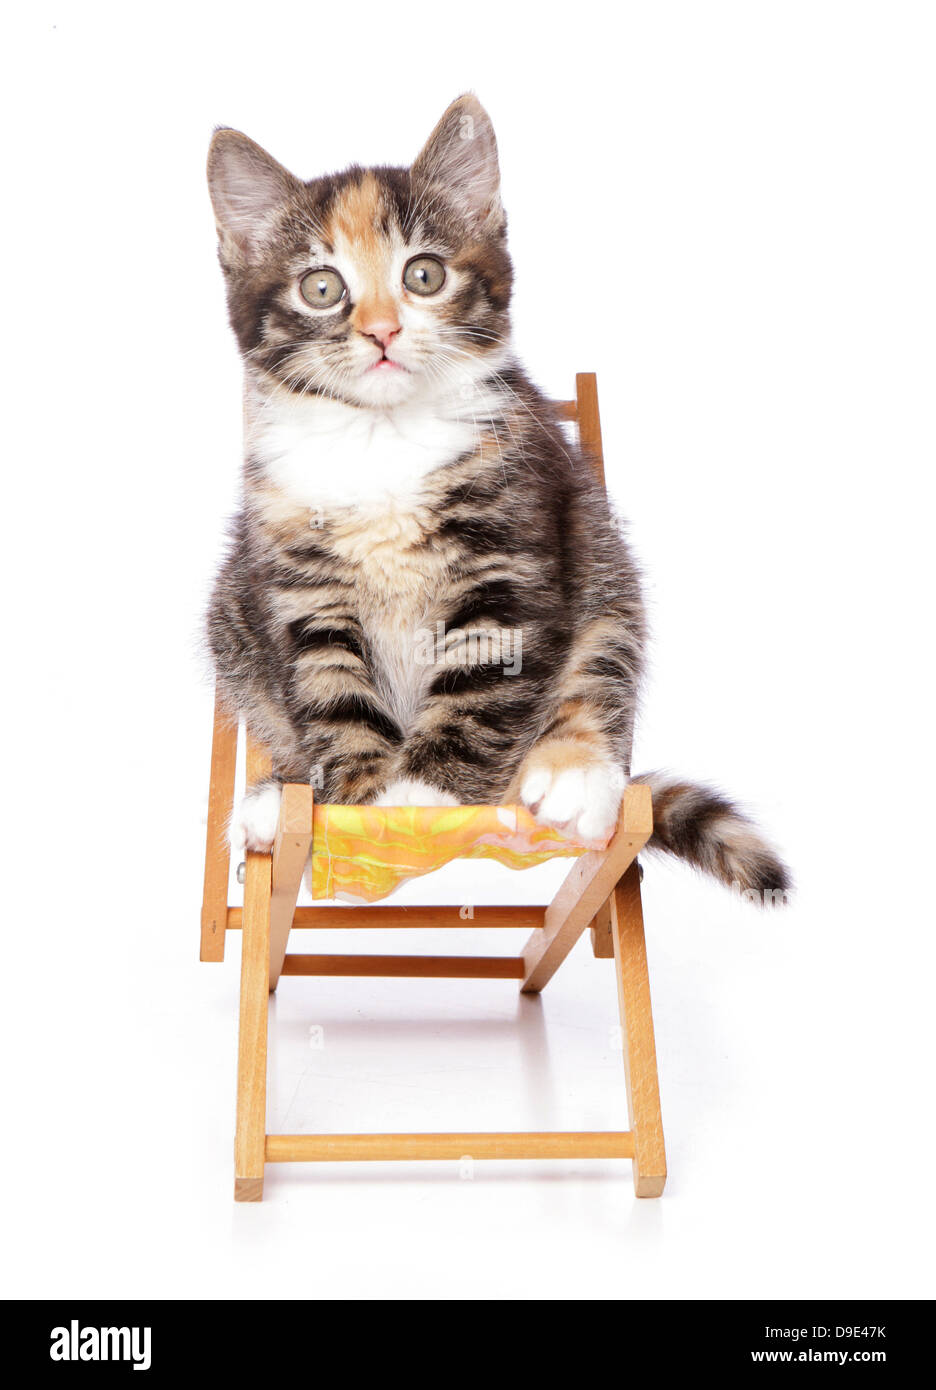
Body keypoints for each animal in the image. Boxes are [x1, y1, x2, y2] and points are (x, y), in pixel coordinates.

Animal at [204, 95, 789, 900]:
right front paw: (356, 803)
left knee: (601, 656)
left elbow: (484, 674)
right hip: (231, 617)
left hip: (600, 552)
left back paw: (573, 774)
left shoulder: (512, 540)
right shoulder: (297, 579)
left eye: (423, 275)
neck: (383, 438)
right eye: (320, 287)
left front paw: (421, 797)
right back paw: (275, 799)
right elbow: (330, 687)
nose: (382, 330)